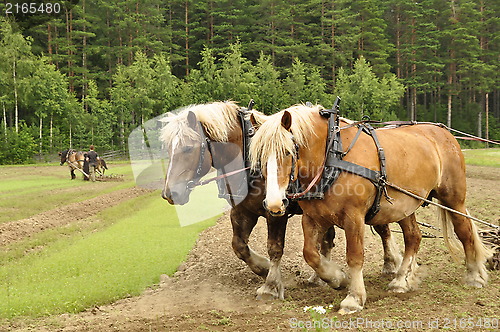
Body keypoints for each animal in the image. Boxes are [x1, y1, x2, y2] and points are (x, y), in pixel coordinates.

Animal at [250, 103, 492, 314]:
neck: (332, 156)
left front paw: (354, 298)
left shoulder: (354, 217)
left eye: (288, 152)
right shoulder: (312, 218)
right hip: (405, 205)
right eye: (259, 155)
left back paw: (474, 276)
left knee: (464, 231)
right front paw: (337, 278)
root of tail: (443, 132)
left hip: (453, 198)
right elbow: (310, 253)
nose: (274, 203)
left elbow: (355, 256)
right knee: (414, 237)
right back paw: (401, 280)